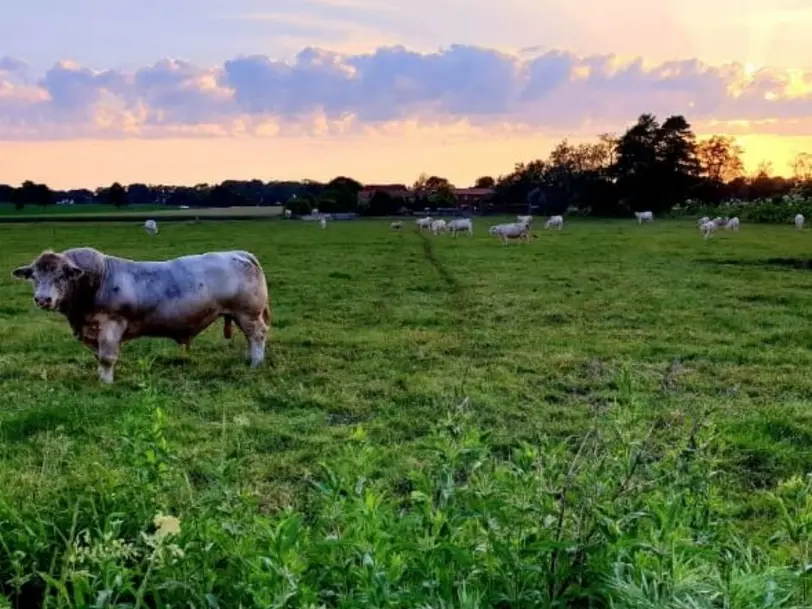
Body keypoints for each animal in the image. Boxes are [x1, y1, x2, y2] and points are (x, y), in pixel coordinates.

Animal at [12, 246, 272, 380]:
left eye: (61, 276)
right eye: (34, 277)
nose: (42, 299)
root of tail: (240, 253)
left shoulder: (112, 324)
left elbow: (107, 358)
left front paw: (106, 383)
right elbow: (99, 357)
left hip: (248, 313)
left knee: (257, 336)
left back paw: (256, 363)